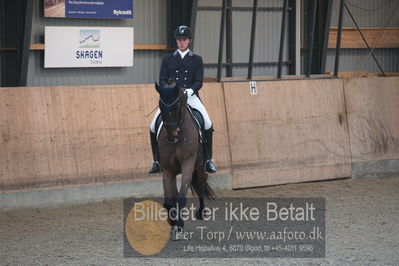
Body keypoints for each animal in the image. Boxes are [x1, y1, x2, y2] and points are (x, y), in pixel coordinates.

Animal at [155, 82, 216, 239]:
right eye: (160, 106)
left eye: (176, 107)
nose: (171, 136)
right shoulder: (168, 170)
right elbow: (169, 202)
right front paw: (173, 222)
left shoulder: (188, 164)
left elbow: (181, 198)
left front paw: (179, 227)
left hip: (200, 167)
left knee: (200, 187)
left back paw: (201, 212)